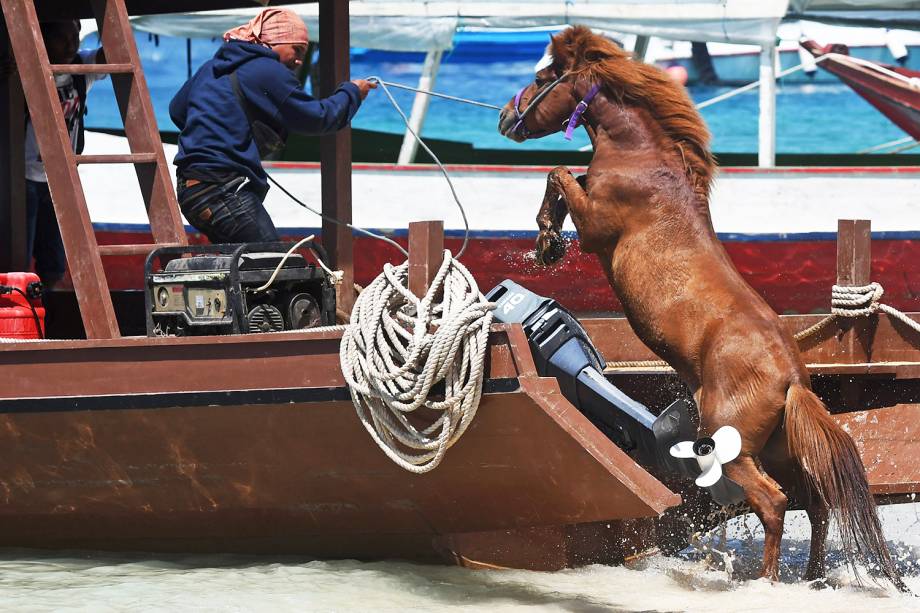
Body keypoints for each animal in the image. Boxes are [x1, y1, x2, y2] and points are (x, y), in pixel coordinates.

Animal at [500, 26, 904, 592]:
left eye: (541, 78)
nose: (502, 118)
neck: (641, 158)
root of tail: (791, 379)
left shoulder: (598, 224)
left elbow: (559, 173)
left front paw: (547, 240)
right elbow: (566, 175)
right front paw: (546, 241)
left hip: (730, 445)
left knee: (774, 503)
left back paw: (766, 581)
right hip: (777, 449)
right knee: (814, 503)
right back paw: (812, 577)